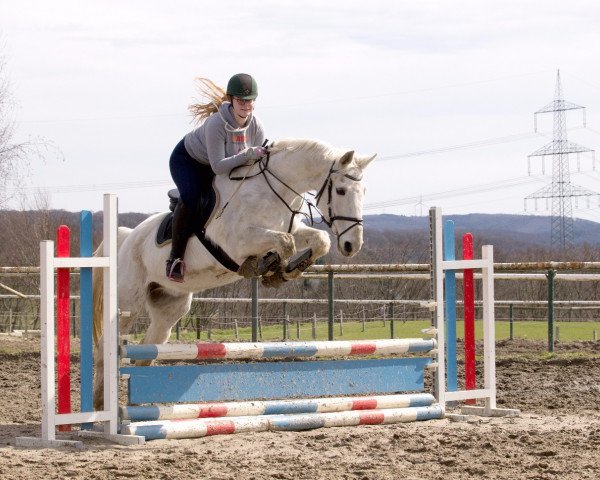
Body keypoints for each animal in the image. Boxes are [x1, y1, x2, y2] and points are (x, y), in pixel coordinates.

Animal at [91, 137, 376, 406]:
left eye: (364, 191)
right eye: (340, 190)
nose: (352, 245)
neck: (274, 191)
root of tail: (126, 238)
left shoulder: (292, 229)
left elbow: (318, 240)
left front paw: (283, 272)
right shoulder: (239, 243)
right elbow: (285, 243)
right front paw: (265, 267)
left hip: (169, 306)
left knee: (148, 348)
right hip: (129, 303)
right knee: (106, 347)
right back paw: (98, 403)